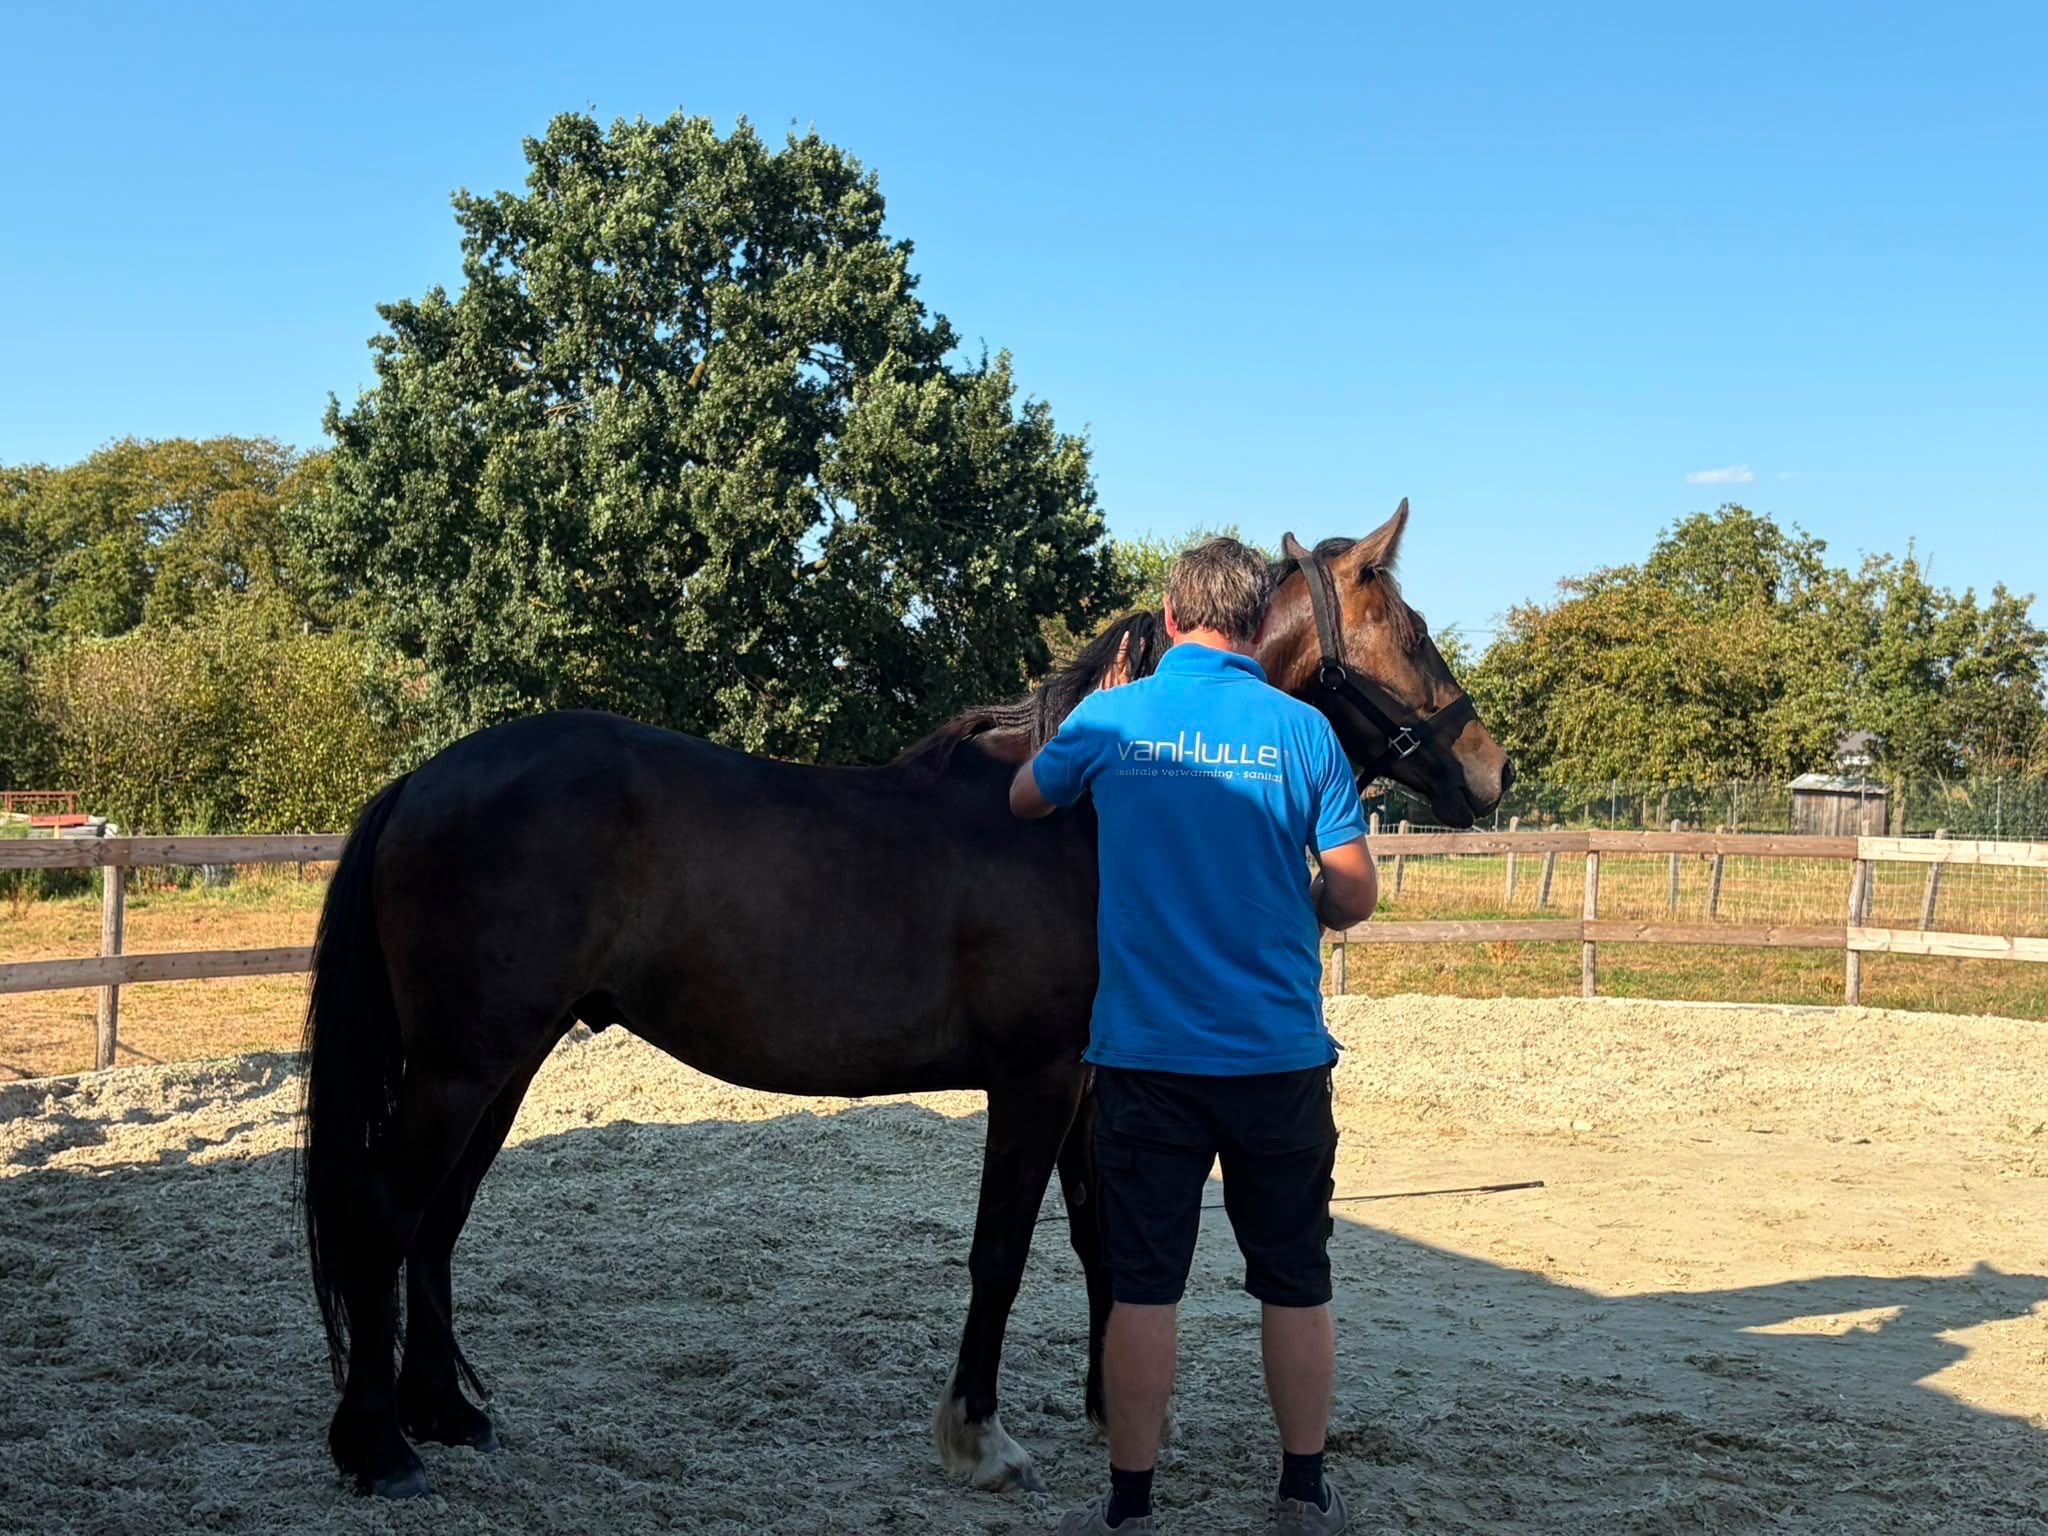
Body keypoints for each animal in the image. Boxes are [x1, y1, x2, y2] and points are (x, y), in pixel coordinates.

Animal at [297, 500, 1512, 1500]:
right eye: (1410, 632)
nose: (1491, 774)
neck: (1084, 811)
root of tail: (422, 781)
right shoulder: (1034, 1081)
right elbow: (1002, 1252)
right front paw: (979, 1436)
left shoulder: (1087, 1082)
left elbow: (1101, 1241)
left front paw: (1113, 1409)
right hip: (462, 1066)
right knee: (385, 1214)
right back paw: (379, 1447)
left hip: (502, 1060)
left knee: (437, 1223)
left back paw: (444, 1414)